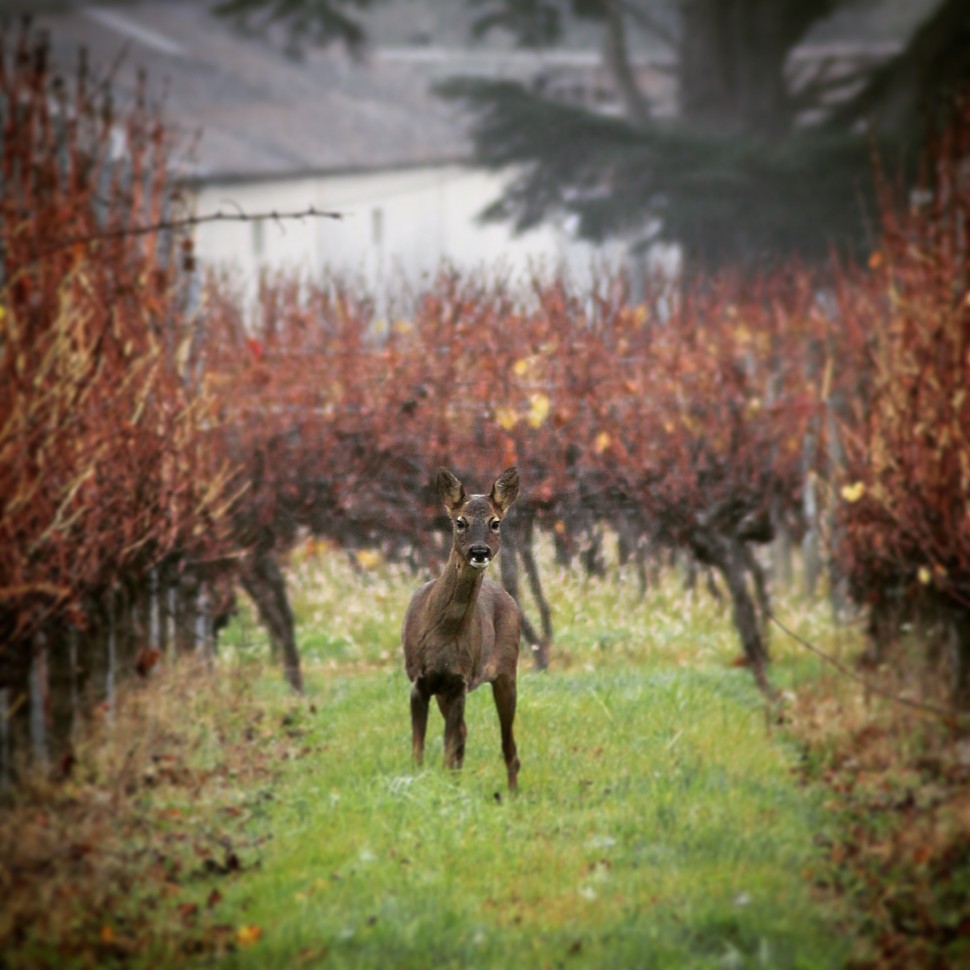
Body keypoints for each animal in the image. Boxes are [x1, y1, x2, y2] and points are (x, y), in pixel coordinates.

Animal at [400, 466, 520, 792]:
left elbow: (446, 748)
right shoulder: (419, 681)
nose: (479, 551)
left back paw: (513, 794)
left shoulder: (459, 682)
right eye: (460, 522)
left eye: (495, 522)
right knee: (465, 735)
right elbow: (417, 750)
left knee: (509, 746)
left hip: (507, 670)